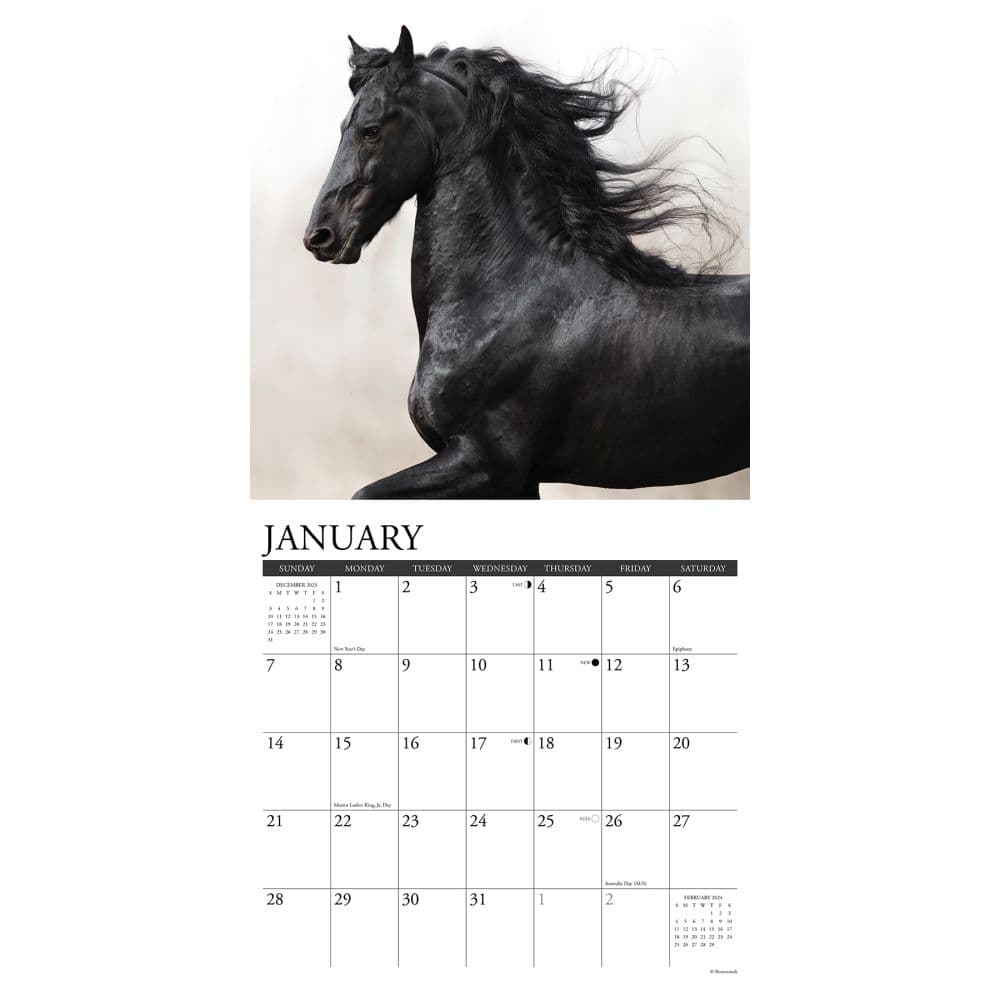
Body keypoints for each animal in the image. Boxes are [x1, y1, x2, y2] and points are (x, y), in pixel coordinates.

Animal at [304, 26, 749, 499]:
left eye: (370, 130)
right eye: (344, 127)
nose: (320, 235)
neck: (508, 294)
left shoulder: (487, 465)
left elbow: (362, 494)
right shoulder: (516, 481)